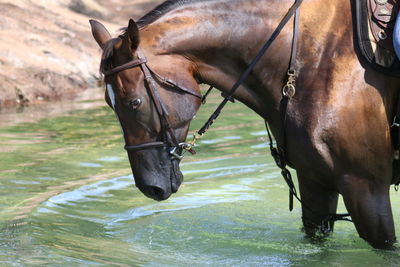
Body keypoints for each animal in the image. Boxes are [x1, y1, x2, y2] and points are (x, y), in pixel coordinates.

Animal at [89, 0, 400, 251]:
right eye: (109, 103)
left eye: (134, 102)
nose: (149, 187)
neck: (314, 54)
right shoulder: (314, 183)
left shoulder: (366, 189)